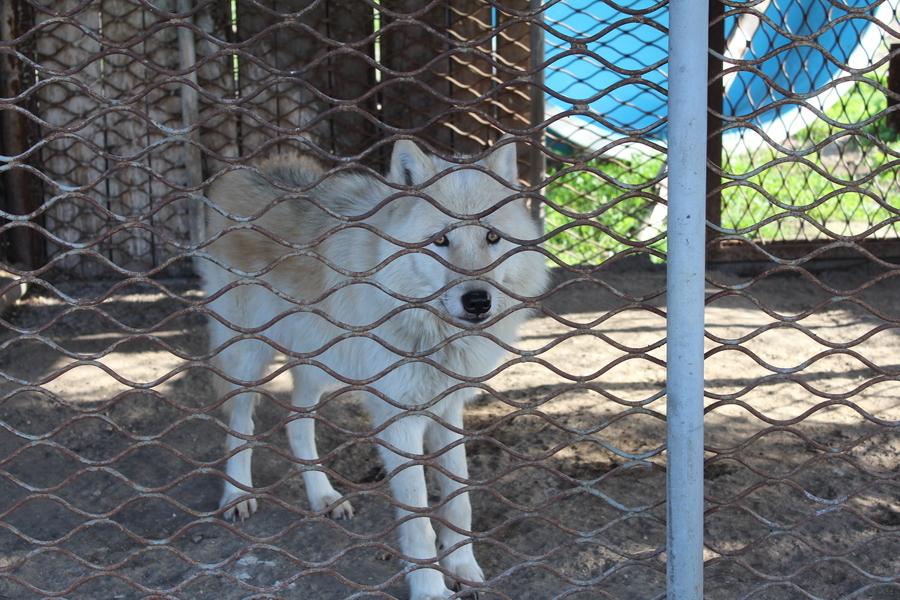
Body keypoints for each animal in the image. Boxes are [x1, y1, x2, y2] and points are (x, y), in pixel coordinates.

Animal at [200, 137, 544, 600]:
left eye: (492, 236)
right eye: (441, 240)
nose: (477, 301)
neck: (434, 337)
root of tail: (248, 165)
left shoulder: (447, 411)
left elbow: (460, 500)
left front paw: (463, 568)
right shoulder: (399, 419)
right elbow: (418, 517)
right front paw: (431, 589)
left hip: (315, 365)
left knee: (297, 425)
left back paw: (324, 496)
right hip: (248, 357)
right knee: (241, 425)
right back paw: (237, 496)